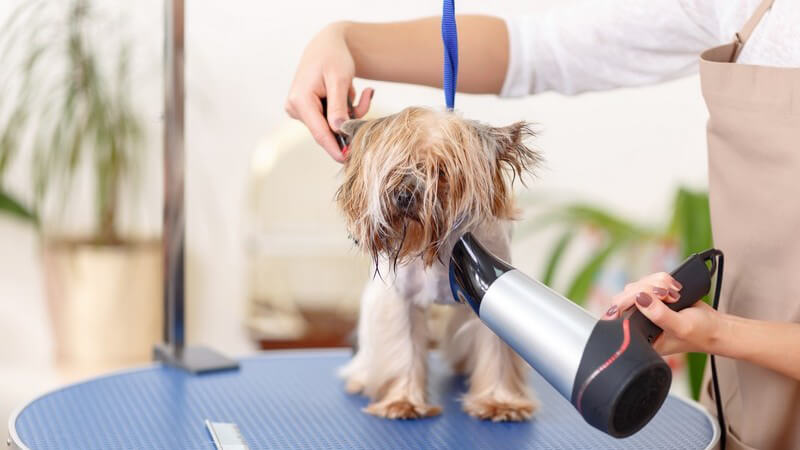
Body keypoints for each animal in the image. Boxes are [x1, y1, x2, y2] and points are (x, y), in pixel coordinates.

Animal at [334, 106, 540, 422]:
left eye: (440, 171)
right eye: (394, 167)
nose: (404, 195)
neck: (437, 246)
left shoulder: (490, 292)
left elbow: (496, 352)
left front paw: (500, 402)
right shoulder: (401, 301)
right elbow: (403, 348)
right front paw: (403, 401)